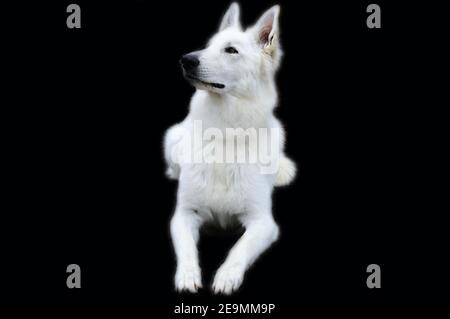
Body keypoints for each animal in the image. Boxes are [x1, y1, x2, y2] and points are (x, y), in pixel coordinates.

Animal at [163, 2, 298, 296]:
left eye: (231, 50)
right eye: (208, 46)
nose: (186, 59)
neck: (225, 133)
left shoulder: (263, 222)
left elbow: (239, 249)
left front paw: (226, 276)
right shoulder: (184, 215)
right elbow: (187, 249)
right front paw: (187, 276)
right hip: (172, 139)